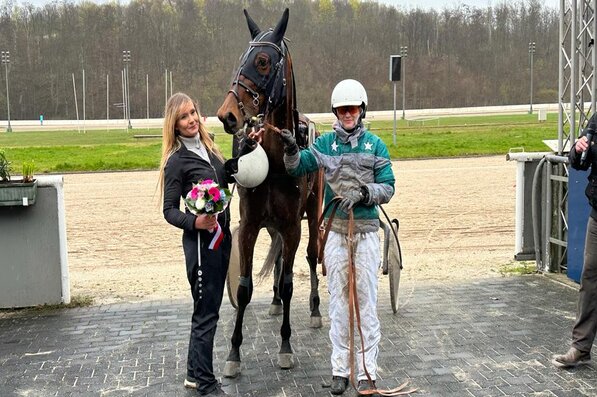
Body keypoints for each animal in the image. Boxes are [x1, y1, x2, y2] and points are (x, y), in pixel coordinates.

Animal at [217, 7, 324, 376]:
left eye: (263, 62)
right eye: (241, 58)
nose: (227, 115)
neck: (277, 161)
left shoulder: (292, 226)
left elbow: (292, 281)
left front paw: (285, 346)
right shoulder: (250, 224)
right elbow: (244, 287)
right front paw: (234, 353)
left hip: (314, 212)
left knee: (311, 255)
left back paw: (316, 309)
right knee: (277, 261)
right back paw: (275, 300)